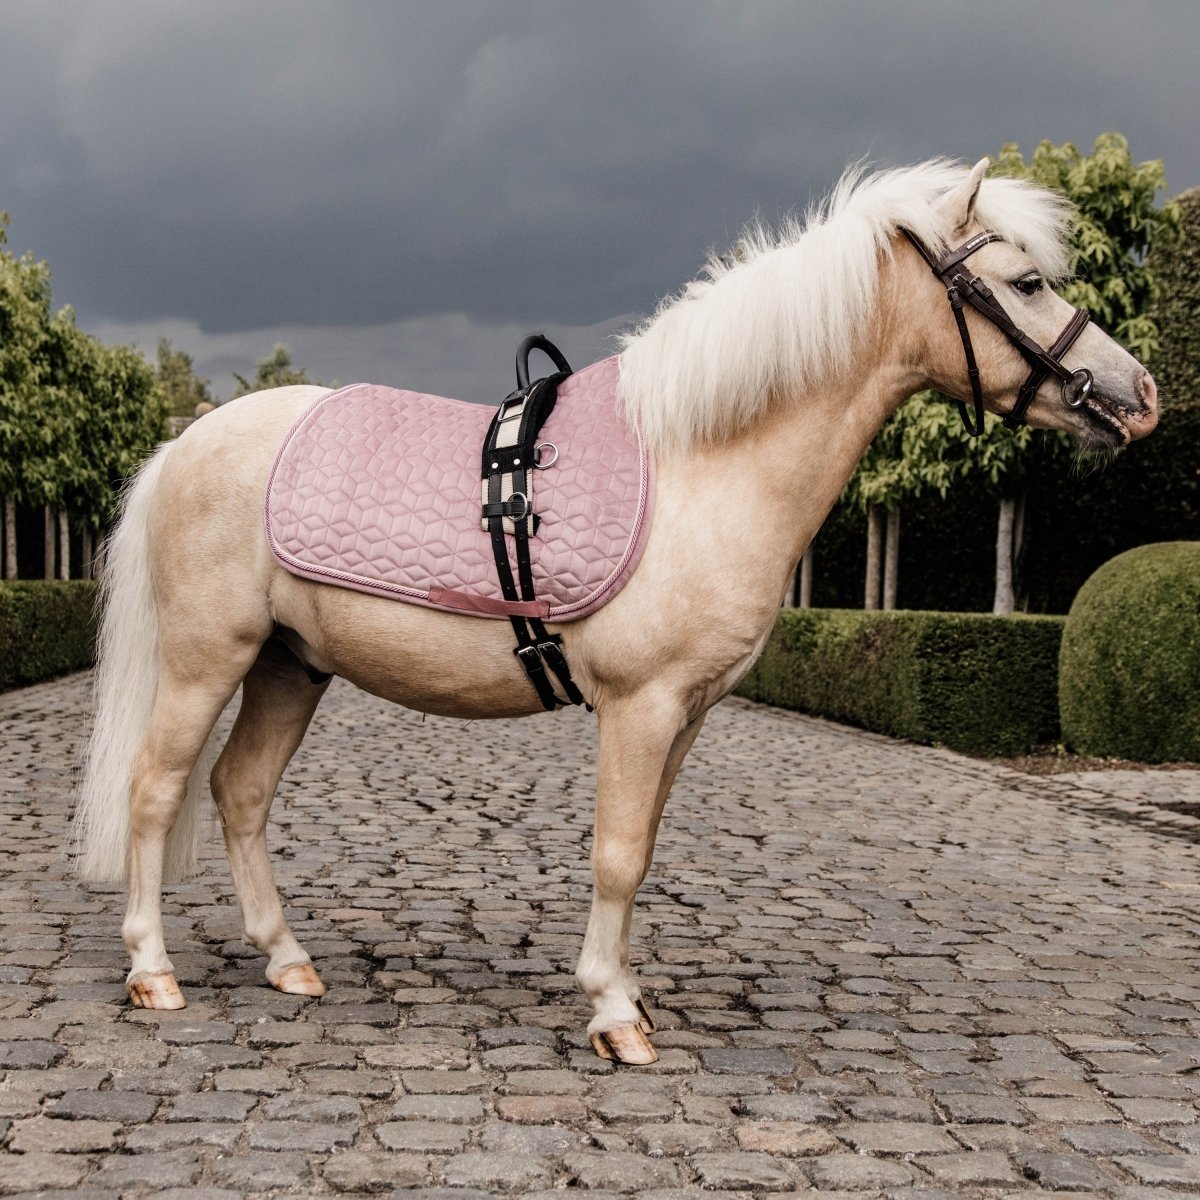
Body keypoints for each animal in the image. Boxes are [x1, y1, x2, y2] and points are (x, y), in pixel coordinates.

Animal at [74, 158, 1157, 1065]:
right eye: (1028, 283)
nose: (1138, 396)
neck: (699, 466)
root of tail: (187, 442)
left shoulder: (687, 715)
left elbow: (641, 854)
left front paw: (625, 993)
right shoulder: (641, 707)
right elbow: (619, 855)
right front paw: (614, 1017)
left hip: (291, 664)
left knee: (241, 793)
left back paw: (288, 961)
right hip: (207, 660)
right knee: (155, 790)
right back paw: (153, 972)